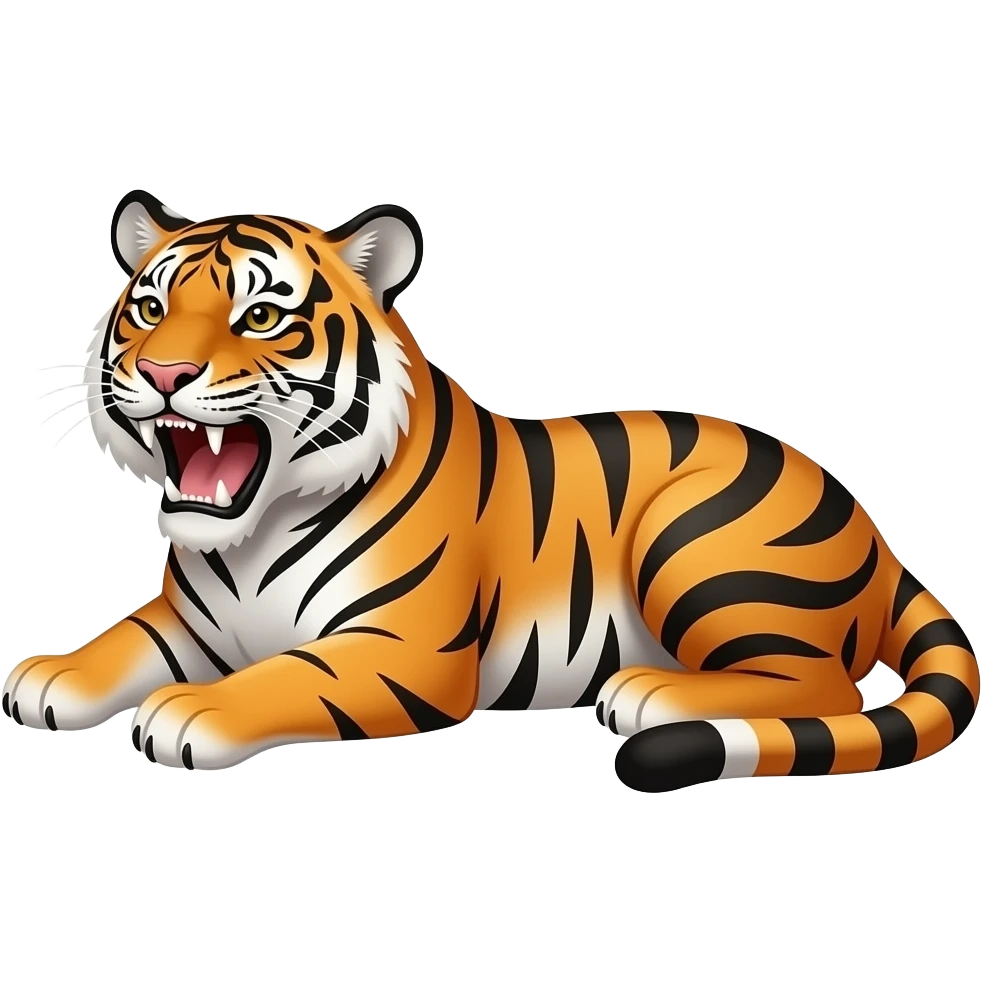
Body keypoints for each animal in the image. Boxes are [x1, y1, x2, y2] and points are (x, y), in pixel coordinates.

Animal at [10, 189, 979, 793]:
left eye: (261, 316)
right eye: (149, 309)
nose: (164, 373)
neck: (253, 533)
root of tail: (874, 533)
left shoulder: (403, 650)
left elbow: (281, 673)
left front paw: (191, 708)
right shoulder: (191, 622)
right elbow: (124, 642)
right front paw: (49, 674)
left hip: (695, 541)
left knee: (823, 686)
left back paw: (650, 693)